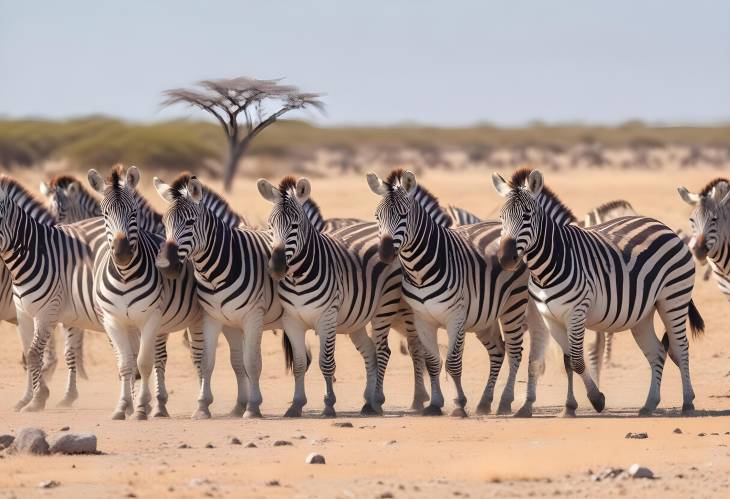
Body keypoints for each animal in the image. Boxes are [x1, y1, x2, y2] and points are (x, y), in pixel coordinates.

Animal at [87, 166, 205, 420]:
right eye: (104, 215)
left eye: (134, 213)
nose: (122, 253)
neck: (124, 276)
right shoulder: (113, 321)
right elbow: (126, 365)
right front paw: (123, 407)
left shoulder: (150, 318)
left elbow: (143, 363)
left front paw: (140, 407)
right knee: (157, 359)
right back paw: (157, 406)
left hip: (191, 319)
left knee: (198, 357)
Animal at [154, 174, 282, 420]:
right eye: (164, 224)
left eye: (190, 222)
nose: (165, 266)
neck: (215, 271)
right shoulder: (213, 317)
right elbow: (209, 361)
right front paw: (203, 406)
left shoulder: (253, 317)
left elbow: (252, 362)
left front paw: (253, 407)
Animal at [258, 177, 404, 418]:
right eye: (270, 226)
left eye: (294, 225)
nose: (276, 267)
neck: (297, 278)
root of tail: (376, 227)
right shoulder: (291, 320)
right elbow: (299, 363)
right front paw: (295, 405)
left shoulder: (327, 317)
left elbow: (326, 363)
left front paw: (328, 405)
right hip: (357, 320)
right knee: (370, 352)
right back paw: (368, 402)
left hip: (385, 307)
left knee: (383, 351)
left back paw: (377, 400)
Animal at [366, 171, 544, 418]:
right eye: (377, 216)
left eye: (403, 215)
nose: (383, 254)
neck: (419, 270)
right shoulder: (422, 319)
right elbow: (432, 361)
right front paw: (434, 404)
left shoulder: (455, 317)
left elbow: (453, 362)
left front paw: (459, 404)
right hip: (484, 316)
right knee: (498, 351)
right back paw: (485, 402)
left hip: (513, 305)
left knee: (515, 351)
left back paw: (504, 402)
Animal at [492, 168, 704, 418]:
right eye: (501, 218)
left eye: (526, 215)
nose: (506, 258)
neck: (550, 264)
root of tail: (663, 226)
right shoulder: (550, 317)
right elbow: (568, 361)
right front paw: (569, 407)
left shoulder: (577, 312)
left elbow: (578, 359)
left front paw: (596, 399)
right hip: (643, 314)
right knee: (658, 352)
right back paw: (649, 404)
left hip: (673, 299)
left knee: (680, 349)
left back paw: (687, 403)